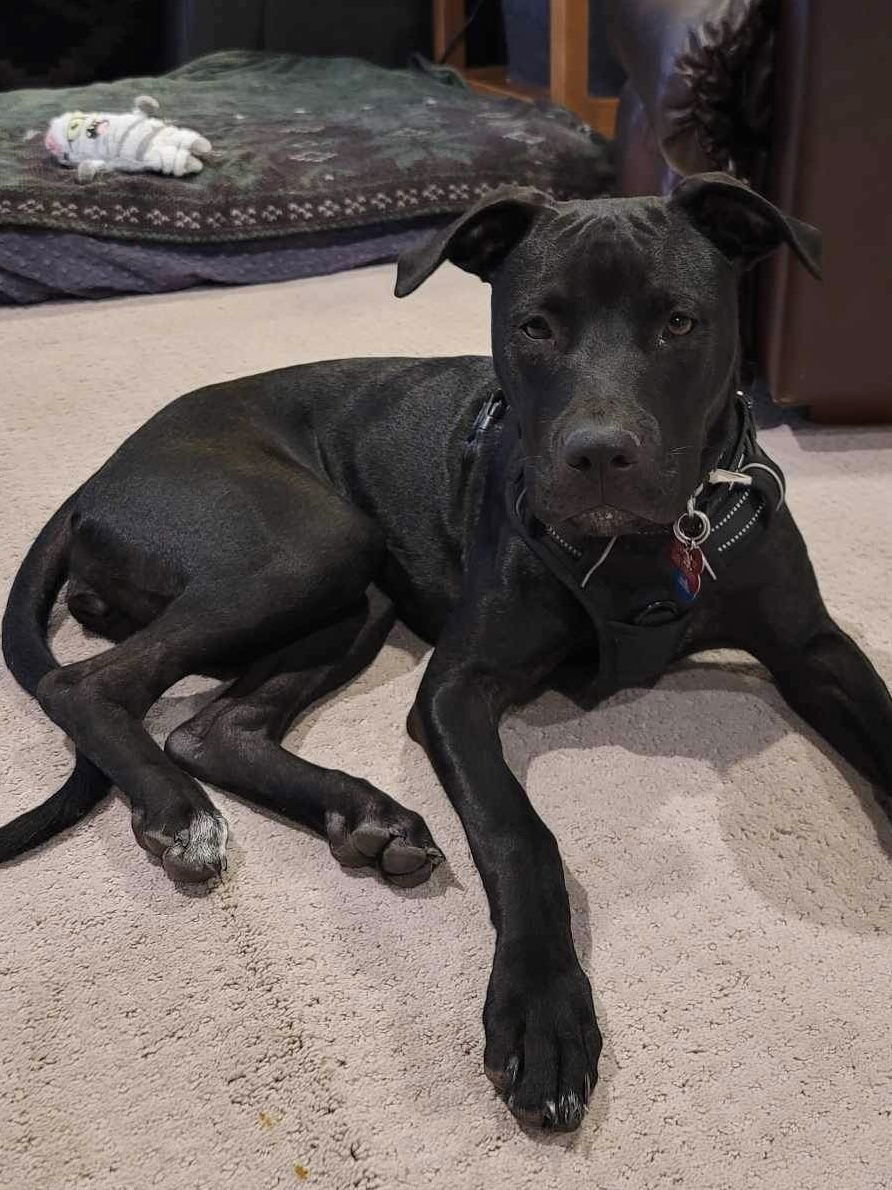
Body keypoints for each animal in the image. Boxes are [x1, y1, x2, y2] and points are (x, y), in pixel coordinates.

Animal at [1, 172, 892, 1128]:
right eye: (534, 327)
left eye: (680, 323)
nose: (597, 455)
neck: (653, 547)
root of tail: (96, 477)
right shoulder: (459, 689)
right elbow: (520, 835)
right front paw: (543, 1012)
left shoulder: (814, 646)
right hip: (312, 543)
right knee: (86, 681)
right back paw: (179, 813)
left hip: (353, 596)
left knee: (211, 728)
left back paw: (365, 817)